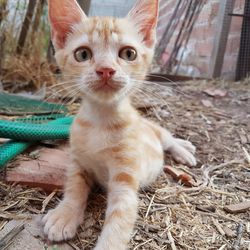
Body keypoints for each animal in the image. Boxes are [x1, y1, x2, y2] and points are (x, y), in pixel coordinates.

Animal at [42, 0, 195, 249]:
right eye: (82, 54)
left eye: (128, 53)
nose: (106, 69)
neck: (100, 122)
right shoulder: (77, 162)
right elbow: (74, 187)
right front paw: (64, 214)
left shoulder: (125, 179)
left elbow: (120, 219)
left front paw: (108, 242)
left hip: (155, 131)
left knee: (168, 138)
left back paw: (185, 150)